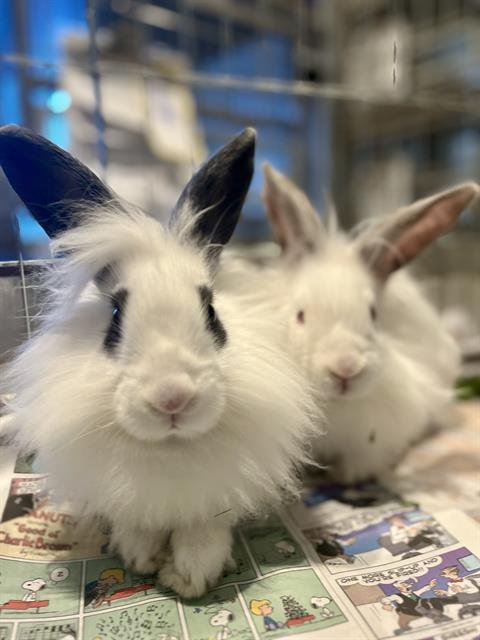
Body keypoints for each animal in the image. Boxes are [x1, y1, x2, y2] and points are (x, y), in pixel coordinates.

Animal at [0, 126, 316, 598]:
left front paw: (190, 576)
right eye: (115, 316)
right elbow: (138, 524)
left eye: (211, 312)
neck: (170, 448)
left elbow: (203, 531)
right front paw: (140, 557)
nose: (172, 398)